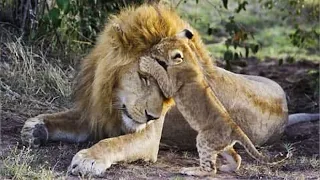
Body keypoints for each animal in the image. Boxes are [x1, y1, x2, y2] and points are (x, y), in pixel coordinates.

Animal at [21, 3, 318, 176]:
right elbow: (59, 117)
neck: (113, 96)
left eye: (166, 89)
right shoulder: (97, 113)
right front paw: (34, 128)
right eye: (144, 77)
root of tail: (286, 109)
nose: (152, 116)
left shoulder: (147, 136)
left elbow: (113, 142)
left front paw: (88, 160)